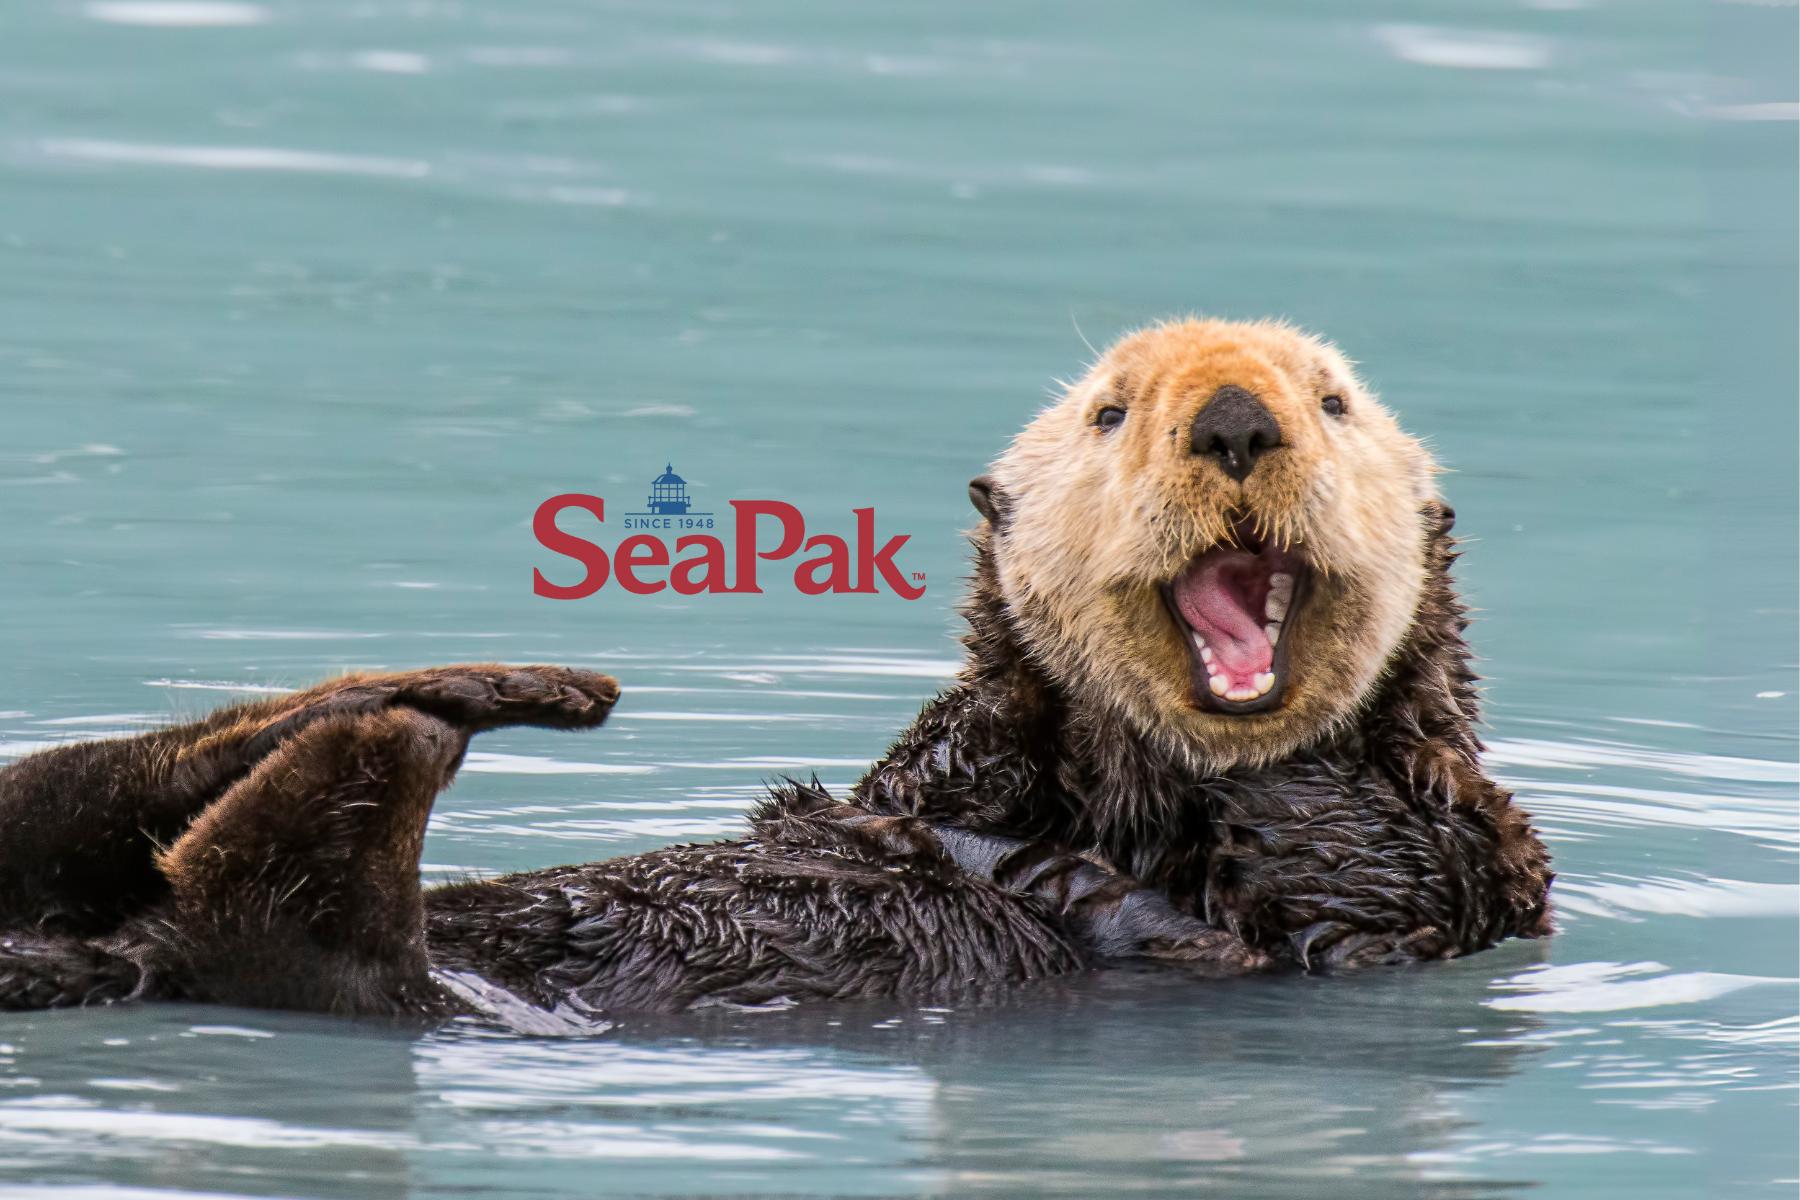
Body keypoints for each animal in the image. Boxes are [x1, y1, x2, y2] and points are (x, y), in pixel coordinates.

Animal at [0, 319, 1551, 1021]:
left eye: (1332, 402)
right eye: (1113, 413)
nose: (1234, 418)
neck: (1143, 802)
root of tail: (116, 958)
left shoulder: (1458, 874)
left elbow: (1361, 877)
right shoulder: (926, 773)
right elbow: (904, 791)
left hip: (356, 969)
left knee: (284, 899)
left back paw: (419, 726)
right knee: (86, 805)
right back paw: (476, 686)